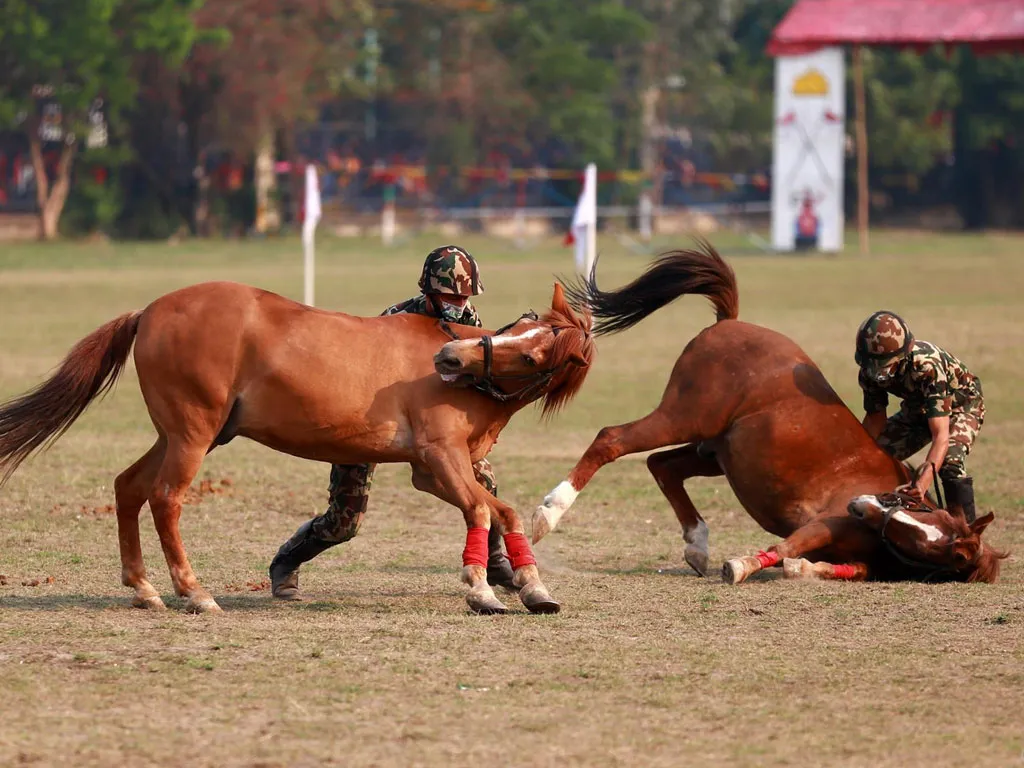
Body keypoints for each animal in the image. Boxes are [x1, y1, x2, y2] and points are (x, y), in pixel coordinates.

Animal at [0, 280, 598, 614]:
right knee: (166, 499)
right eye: (522, 326)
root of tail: (149, 311)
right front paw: (481, 591)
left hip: (180, 436)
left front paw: (531, 586)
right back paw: (194, 593)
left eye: (533, 353)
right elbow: (481, 510)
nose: (447, 359)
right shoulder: (439, 461)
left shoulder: (438, 471)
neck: (472, 384)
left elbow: (505, 512)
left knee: (129, 487)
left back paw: (143, 589)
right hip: (192, 435)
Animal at [532, 243, 1003, 585]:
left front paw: (798, 568)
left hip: (715, 451)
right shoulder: (822, 522)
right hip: (684, 416)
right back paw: (549, 512)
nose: (862, 504)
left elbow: (826, 567)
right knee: (612, 439)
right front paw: (742, 566)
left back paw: (697, 544)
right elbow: (787, 548)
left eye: (936, 534)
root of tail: (730, 321)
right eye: (922, 519)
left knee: (661, 465)